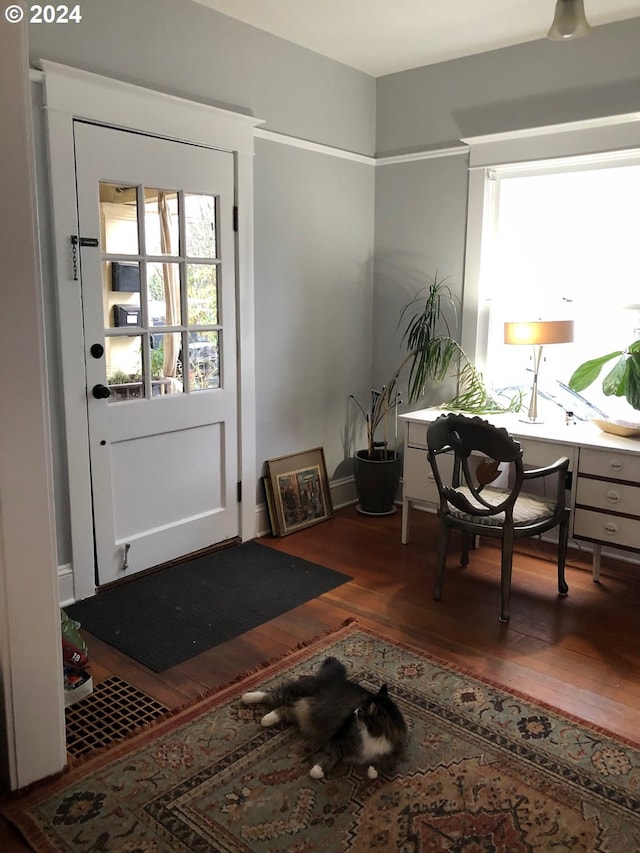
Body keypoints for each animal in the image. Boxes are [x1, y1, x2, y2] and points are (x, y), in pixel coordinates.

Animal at [240, 652, 404, 780]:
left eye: (362, 711)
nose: (354, 711)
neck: (375, 734)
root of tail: (328, 678)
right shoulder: (339, 741)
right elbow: (330, 757)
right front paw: (317, 771)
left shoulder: (393, 752)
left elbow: (381, 764)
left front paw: (372, 771)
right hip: (295, 693)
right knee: (271, 694)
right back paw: (247, 697)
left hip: (301, 708)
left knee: (282, 709)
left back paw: (266, 719)